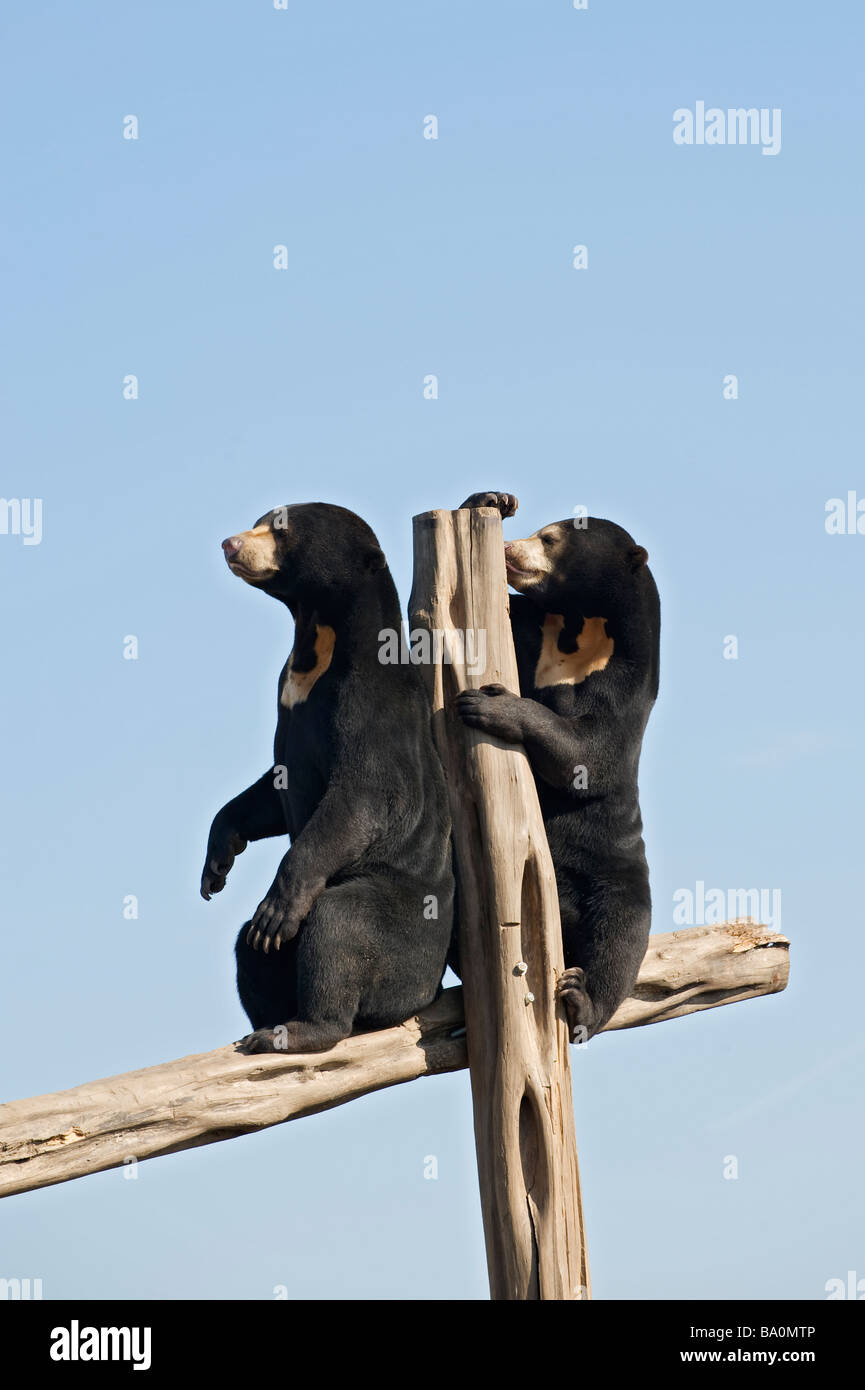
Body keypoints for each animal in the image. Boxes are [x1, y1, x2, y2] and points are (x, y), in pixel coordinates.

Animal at [204, 500, 458, 1050]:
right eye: (261, 520)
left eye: (280, 529)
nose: (229, 544)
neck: (319, 643)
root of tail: (427, 990)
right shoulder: (287, 696)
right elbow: (269, 791)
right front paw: (217, 865)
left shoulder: (369, 703)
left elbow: (360, 798)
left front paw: (278, 904)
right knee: (252, 950)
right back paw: (267, 1024)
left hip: (399, 931)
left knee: (336, 925)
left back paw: (304, 1027)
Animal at [458, 494, 661, 1039]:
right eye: (538, 530)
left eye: (549, 539)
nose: (509, 549)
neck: (577, 626)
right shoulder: (531, 629)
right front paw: (490, 500)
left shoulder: (628, 677)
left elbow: (591, 750)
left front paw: (488, 705)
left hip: (617, 870)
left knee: (621, 937)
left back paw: (580, 1000)